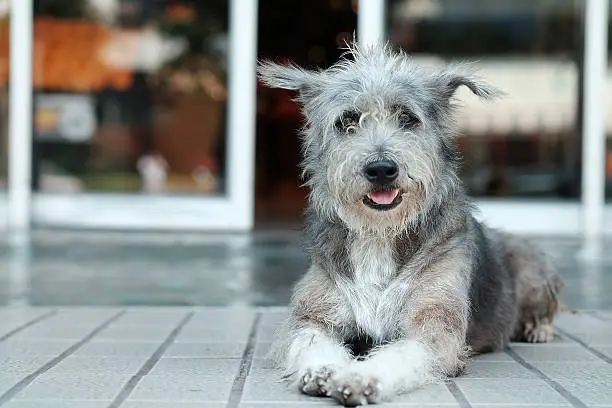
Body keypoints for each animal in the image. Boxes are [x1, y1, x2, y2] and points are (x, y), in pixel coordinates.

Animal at [256, 43, 560, 406]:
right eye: (347, 121)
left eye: (407, 118)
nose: (381, 169)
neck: (380, 233)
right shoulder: (311, 317)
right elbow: (311, 339)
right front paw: (323, 369)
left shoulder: (434, 325)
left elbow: (401, 353)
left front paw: (362, 377)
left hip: (530, 266)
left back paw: (538, 329)